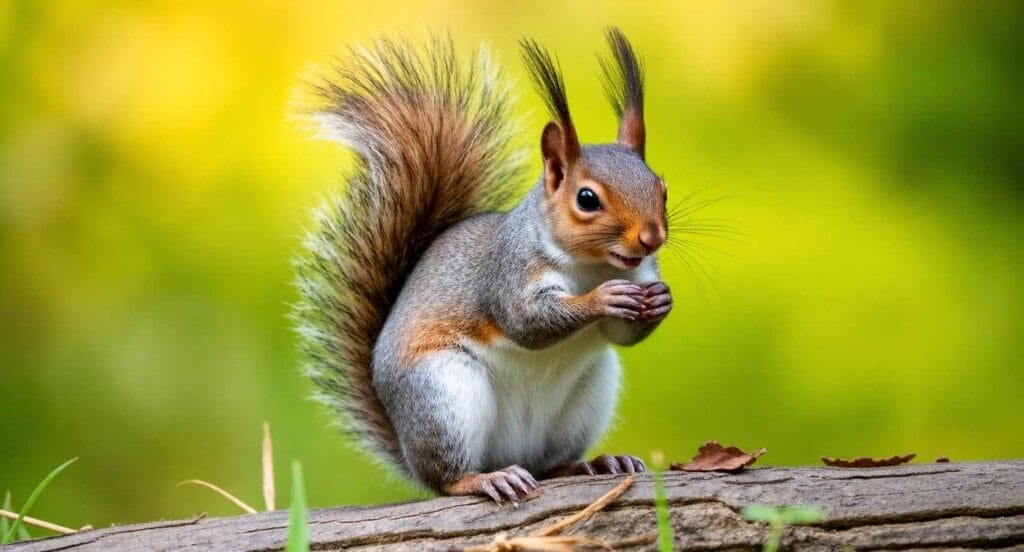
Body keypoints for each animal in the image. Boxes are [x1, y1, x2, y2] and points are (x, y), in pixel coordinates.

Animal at [293, 29, 671, 503]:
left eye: (662, 188)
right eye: (587, 199)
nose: (652, 238)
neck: (593, 267)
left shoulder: (639, 274)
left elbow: (623, 334)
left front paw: (660, 301)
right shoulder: (507, 271)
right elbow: (525, 321)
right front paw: (603, 299)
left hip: (589, 394)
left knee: (549, 464)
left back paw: (593, 463)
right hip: (444, 395)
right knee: (449, 476)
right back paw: (484, 478)